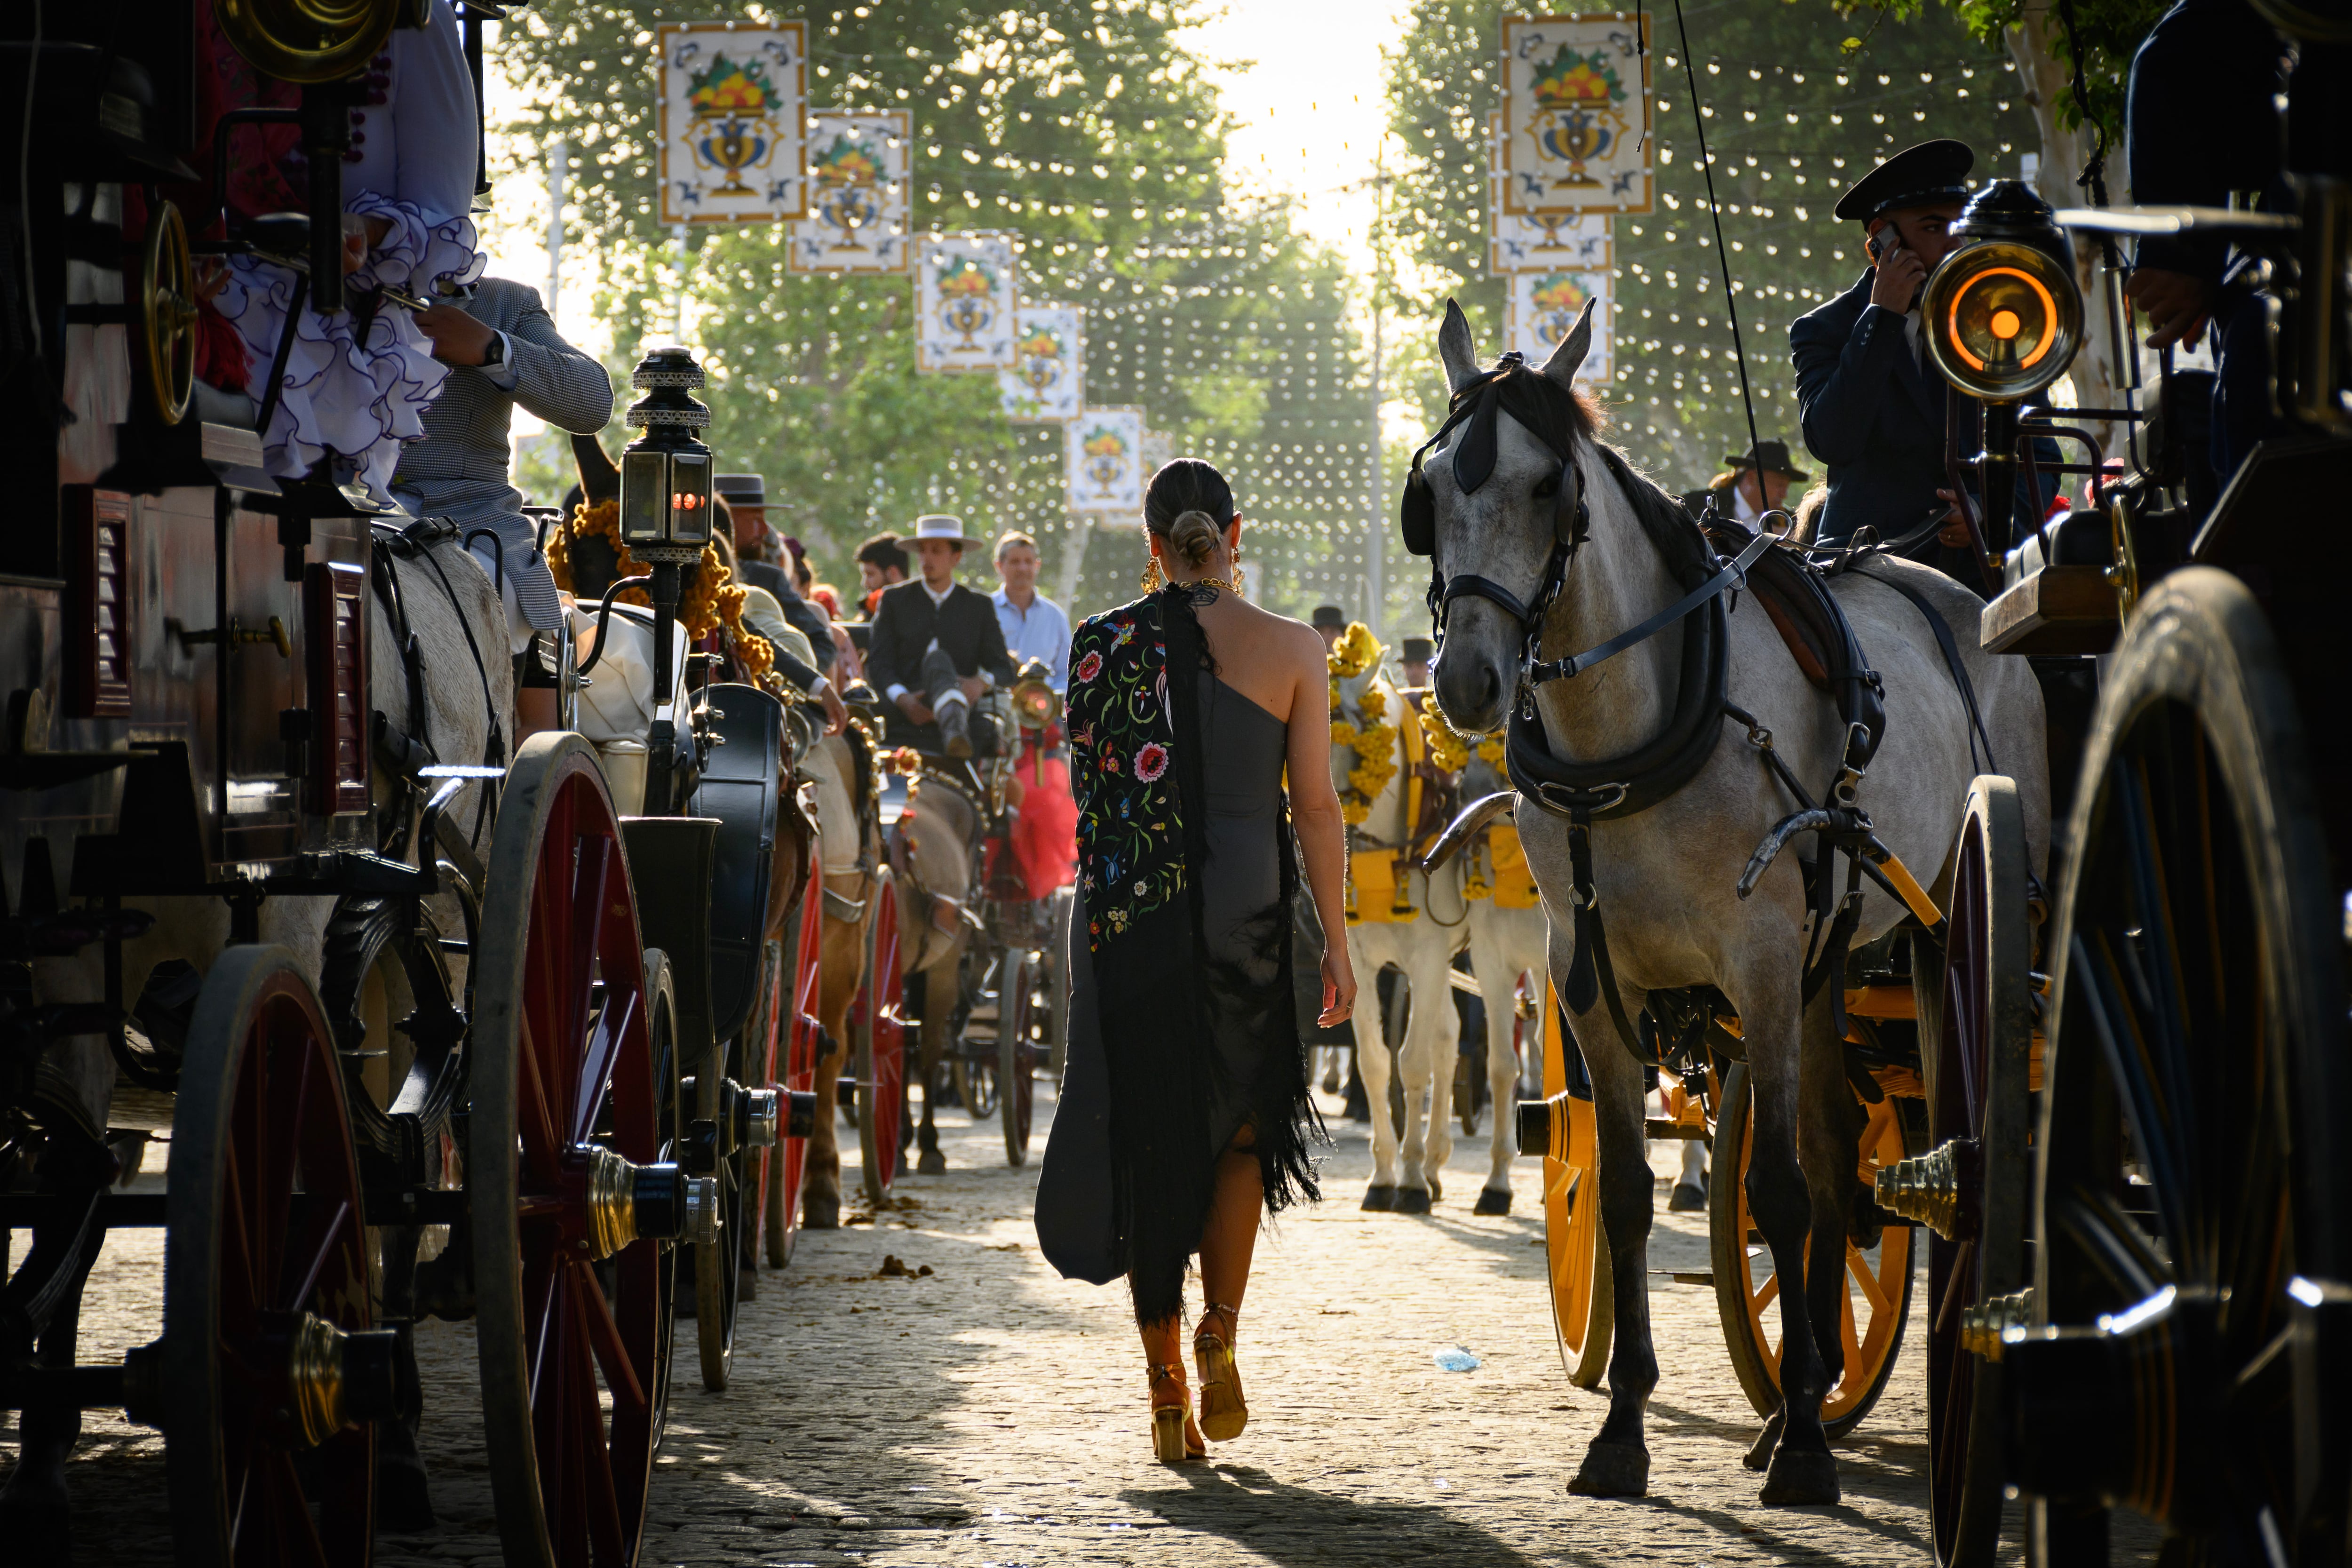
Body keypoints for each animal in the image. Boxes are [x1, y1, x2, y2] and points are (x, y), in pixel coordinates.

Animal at [1411, 297, 2042, 1504]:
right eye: (1428, 490)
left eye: (1548, 486)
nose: (1466, 681)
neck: (1637, 729)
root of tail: (1966, 595)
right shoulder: (1588, 979)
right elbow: (1619, 1191)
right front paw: (1624, 1428)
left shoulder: (1756, 958)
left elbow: (1780, 1191)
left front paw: (1802, 1448)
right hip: (1830, 957)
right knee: (1844, 1151)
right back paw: (1810, 1381)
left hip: (1938, 923)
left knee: (1857, 1152)